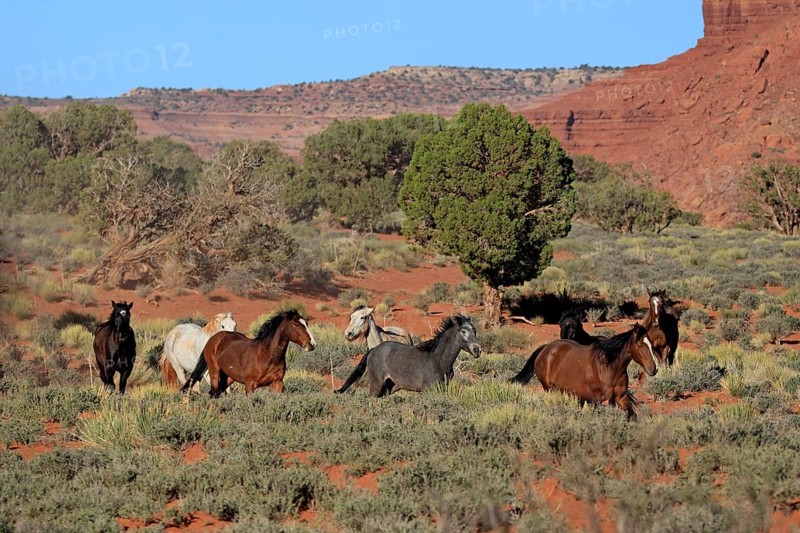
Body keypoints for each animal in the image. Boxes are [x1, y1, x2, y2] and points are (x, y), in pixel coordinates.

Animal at [181, 310, 316, 397]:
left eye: (307, 323)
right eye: (297, 324)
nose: (312, 344)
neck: (267, 356)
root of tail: (213, 339)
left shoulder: (277, 384)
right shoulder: (250, 385)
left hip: (228, 378)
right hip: (214, 371)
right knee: (213, 393)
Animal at [335, 314, 481, 397]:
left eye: (475, 330)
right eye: (463, 331)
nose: (477, 350)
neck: (438, 359)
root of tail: (373, 349)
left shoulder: (443, 388)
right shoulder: (429, 390)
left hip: (389, 386)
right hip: (377, 383)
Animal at [510, 324, 660, 419]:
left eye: (651, 344)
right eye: (640, 345)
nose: (654, 369)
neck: (608, 368)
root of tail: (545, 348)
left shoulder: (620, 397)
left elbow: (632, 415)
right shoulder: (595, 400)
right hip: (549, 389)